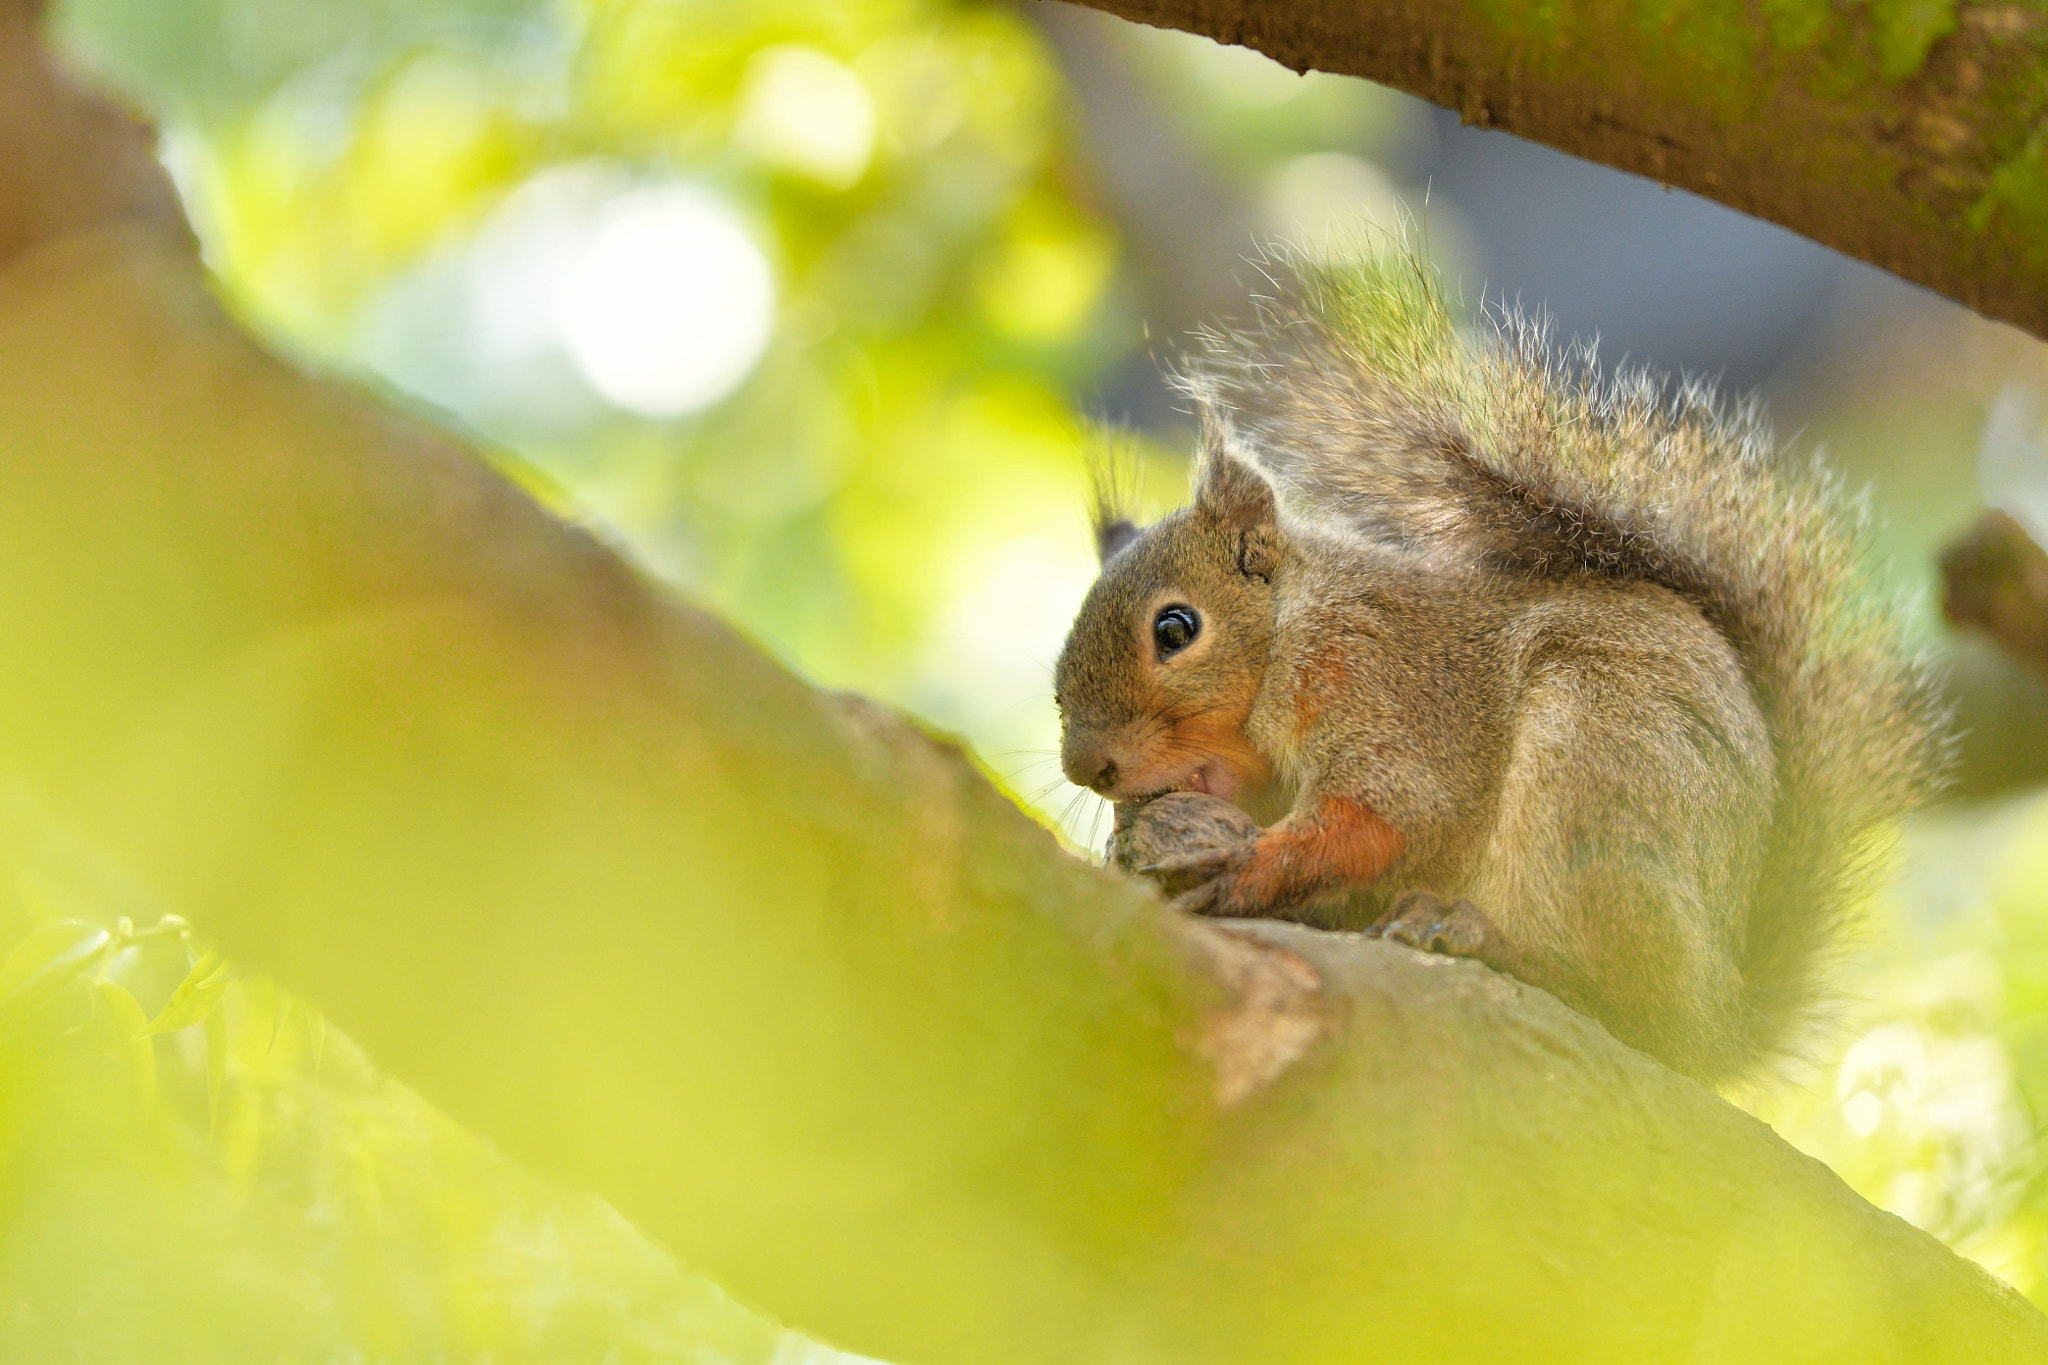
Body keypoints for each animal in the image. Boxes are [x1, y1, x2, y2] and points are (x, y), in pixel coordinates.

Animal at [1064, 250, 1941, 1080]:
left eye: (1176, 627)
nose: (1087, 768)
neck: (1288, 631)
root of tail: (1723, 1018)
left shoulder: (1379, 681)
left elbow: (1385, 815)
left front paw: (1242, 865)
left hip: (1598, 772)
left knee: (1631, 1005)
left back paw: (1493, 943)